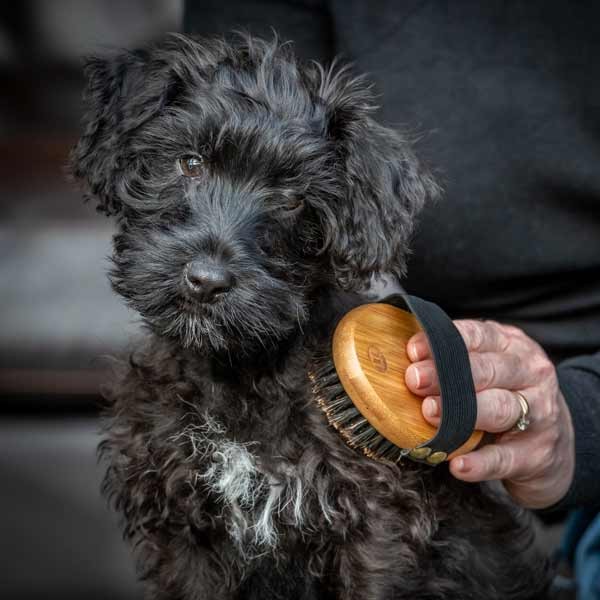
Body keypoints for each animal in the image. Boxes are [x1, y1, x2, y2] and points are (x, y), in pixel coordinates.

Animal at [70, 34, 548, 600]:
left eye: (294, 200)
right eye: (189, 162)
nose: (207, 281)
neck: (238, 372)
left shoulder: (375, 529)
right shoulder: (182, 531)